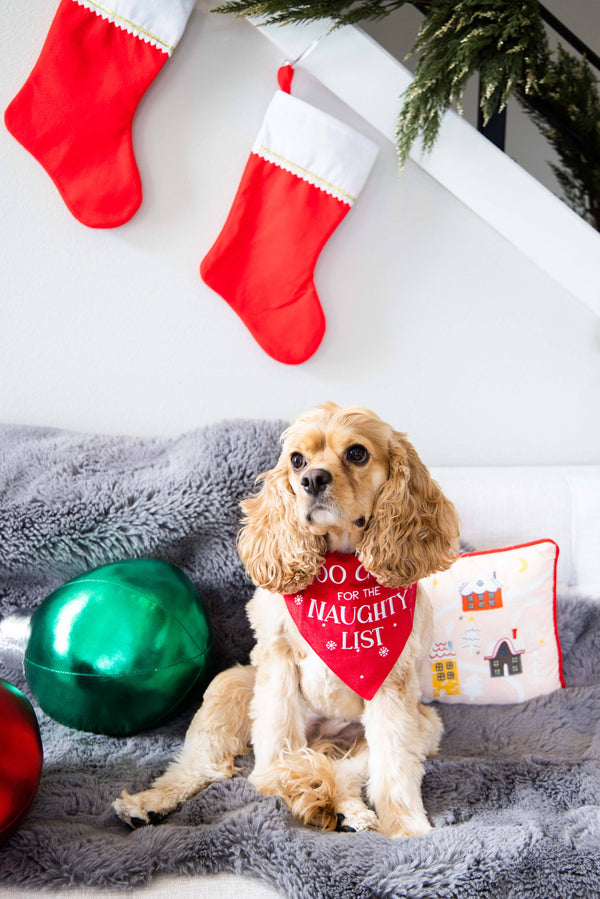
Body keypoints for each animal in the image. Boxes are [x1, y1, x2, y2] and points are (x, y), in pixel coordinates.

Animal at [115, 404, 458, 840]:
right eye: (297, 460)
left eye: (357, 453)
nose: (312, 479)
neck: (340, 571)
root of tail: (324, 735)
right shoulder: (277, 661)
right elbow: (277, 735)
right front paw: (275, 779)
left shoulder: (392, 686)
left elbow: (393, 765)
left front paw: (407, 827)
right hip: (230, 684)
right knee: (202, 765)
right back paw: (151, 802)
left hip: (424, 723)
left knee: (344, 771)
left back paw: (341, 807)